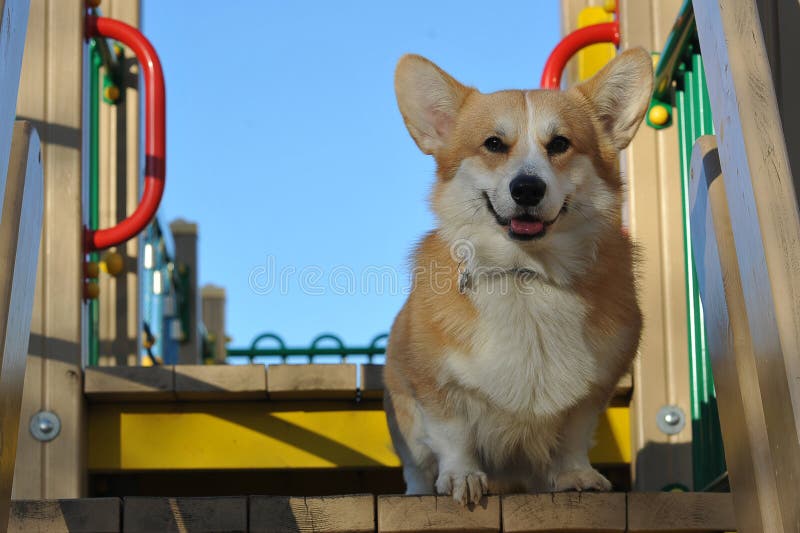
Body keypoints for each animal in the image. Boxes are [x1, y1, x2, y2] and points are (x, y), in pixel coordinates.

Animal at [384, 48, 652, 502]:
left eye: (560, 143)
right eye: (494, 144)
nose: (527, 188)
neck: (526, 272)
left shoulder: (593, 391)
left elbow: (574, 436)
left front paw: (576, 475)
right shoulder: (434, 383)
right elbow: (453, 435)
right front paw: (462, 477)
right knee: (417, 467)